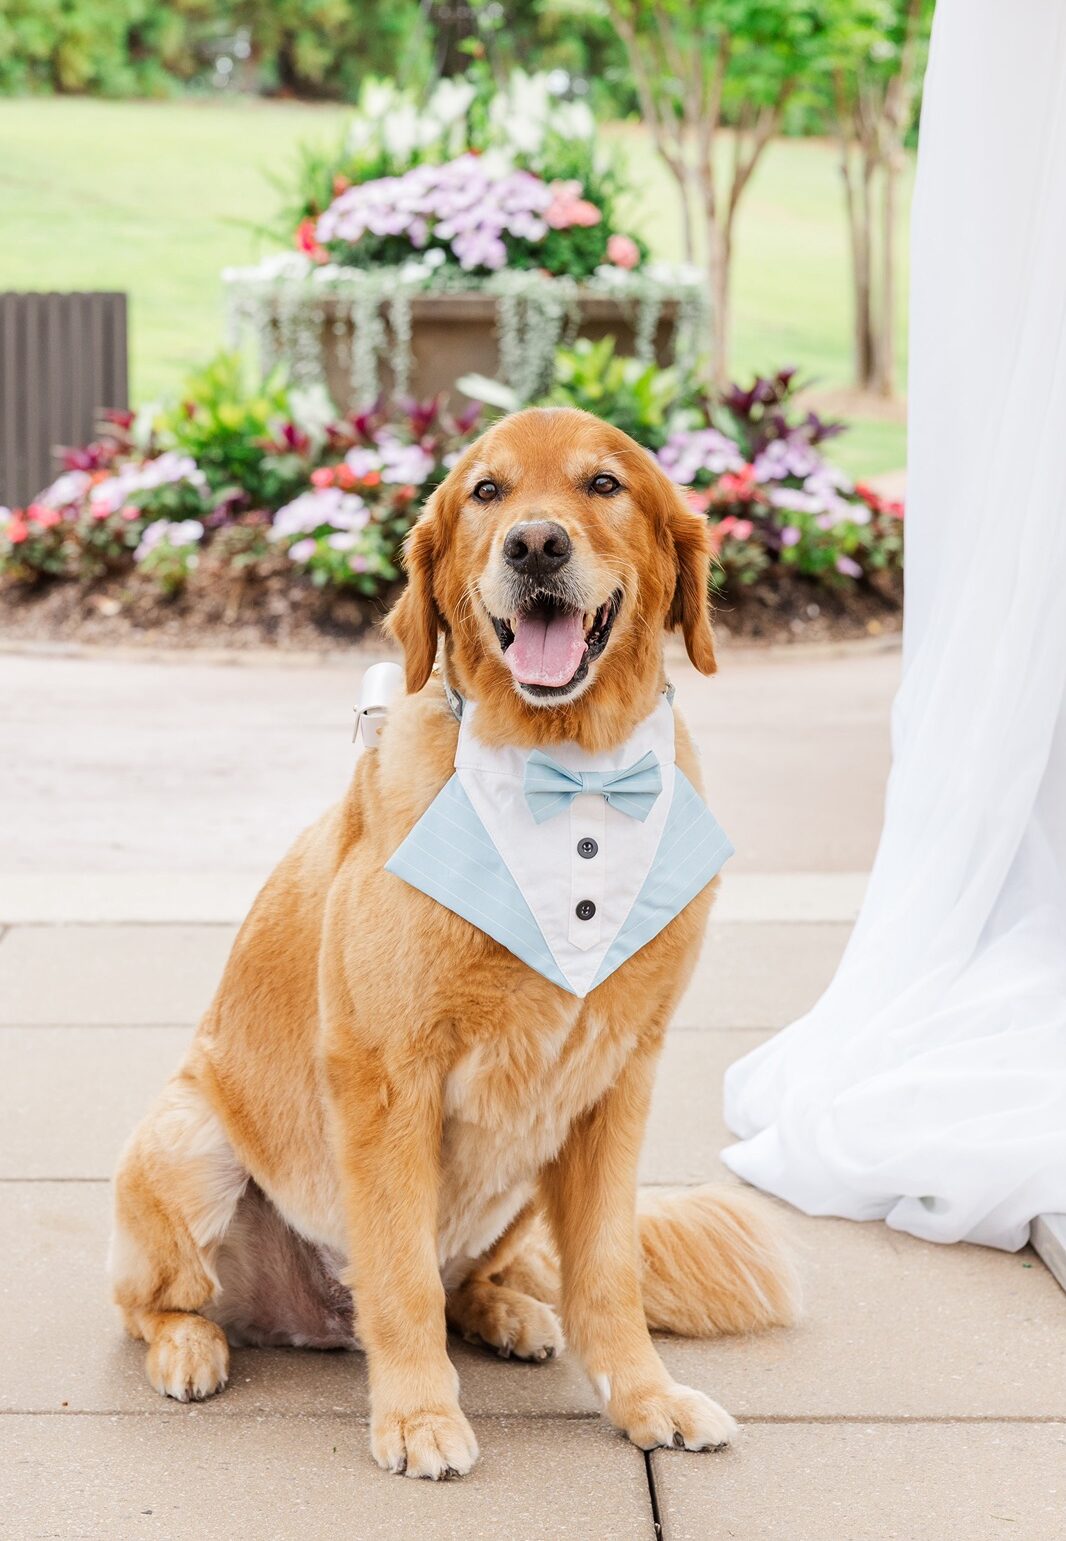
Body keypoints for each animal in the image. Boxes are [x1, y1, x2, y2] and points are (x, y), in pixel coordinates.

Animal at [112, 406, 794, 1479]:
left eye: (605, 485)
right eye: (487, 492)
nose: (535, 544)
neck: (571, 772)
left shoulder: (617, 1082)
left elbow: (607, 1275)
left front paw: (646, 1399)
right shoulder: (388, 1077)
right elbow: (400, 1277)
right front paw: (419, 1416)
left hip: (526, 1175)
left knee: (485, 1278)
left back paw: (512, 1312)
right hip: (187, 1139)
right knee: (151, 1302)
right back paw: (191, 1345)